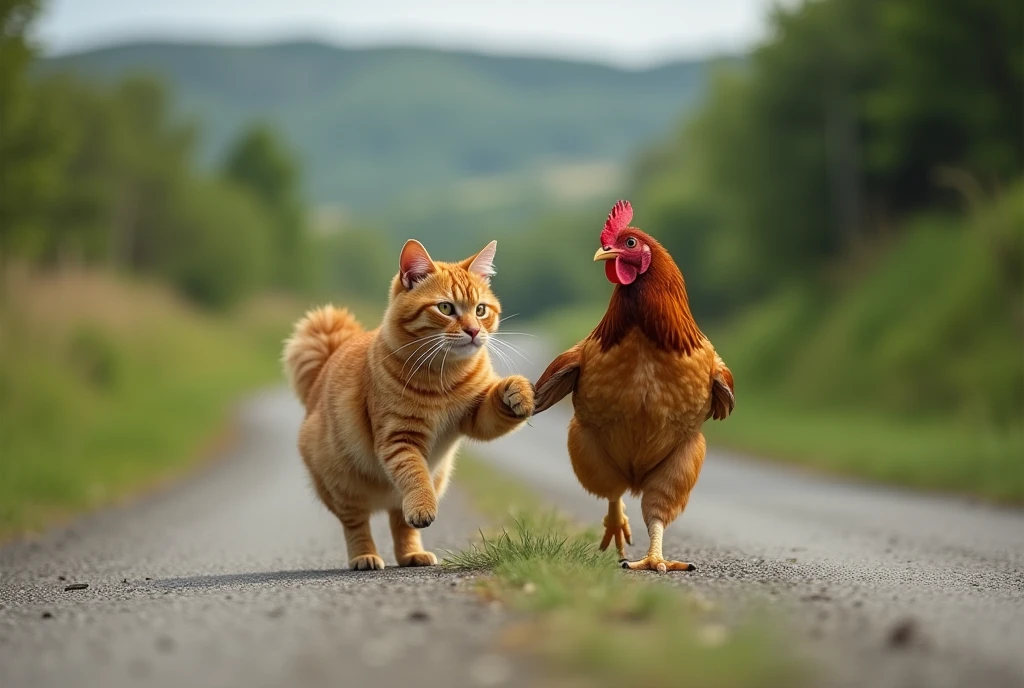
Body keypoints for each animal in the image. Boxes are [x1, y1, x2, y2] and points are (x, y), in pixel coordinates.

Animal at [282, 236, 536, 569]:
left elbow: (495, 405)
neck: (444, 376)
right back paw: (365, 556)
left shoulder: (475, 417)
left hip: (435, 478)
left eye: (481, 310)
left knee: (400, 521)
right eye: (446, 308)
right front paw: (422, 507)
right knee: (357, 525)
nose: (473, 330)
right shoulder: (399, 439)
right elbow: (415, 477)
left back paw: (412, 555)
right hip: (343, 489)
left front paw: (517, 391)